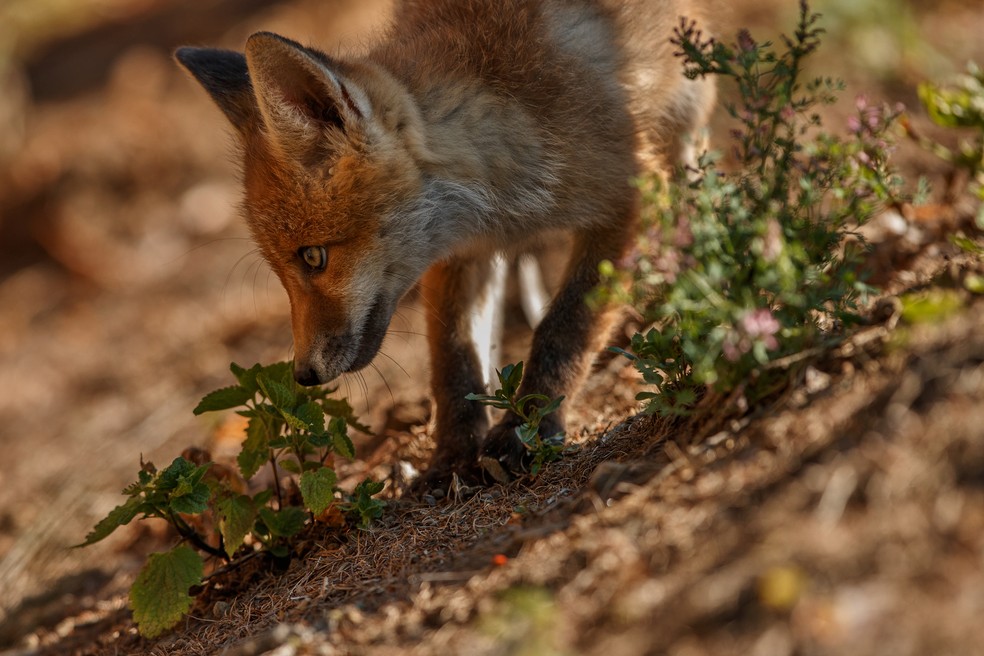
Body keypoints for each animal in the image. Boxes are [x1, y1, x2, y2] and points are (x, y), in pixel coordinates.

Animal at [176, 0, 715, 491]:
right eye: (285, 269)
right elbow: (453, 357)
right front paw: (454, 457)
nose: (303, 374)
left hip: (684, 116)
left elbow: (564, 329)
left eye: (313, 257)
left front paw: (527, 429)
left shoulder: (631, 197)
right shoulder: (457, 249)